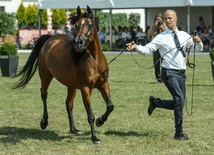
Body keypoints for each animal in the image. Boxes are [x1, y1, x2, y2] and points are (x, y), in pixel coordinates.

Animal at [13, 5, 113, 144]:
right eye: (76, 24)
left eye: (90, 24)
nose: (78, 42)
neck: (94, 60)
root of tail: (50, 39)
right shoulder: (85, 89)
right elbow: (90, 115)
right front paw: (94, 138)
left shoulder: (103, 85)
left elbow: (110, 106)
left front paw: (100, 121)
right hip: (46, 77)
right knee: (44, 94)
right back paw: (44, 122)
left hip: (71, 86)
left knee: (68, 103)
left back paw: (74, 129)